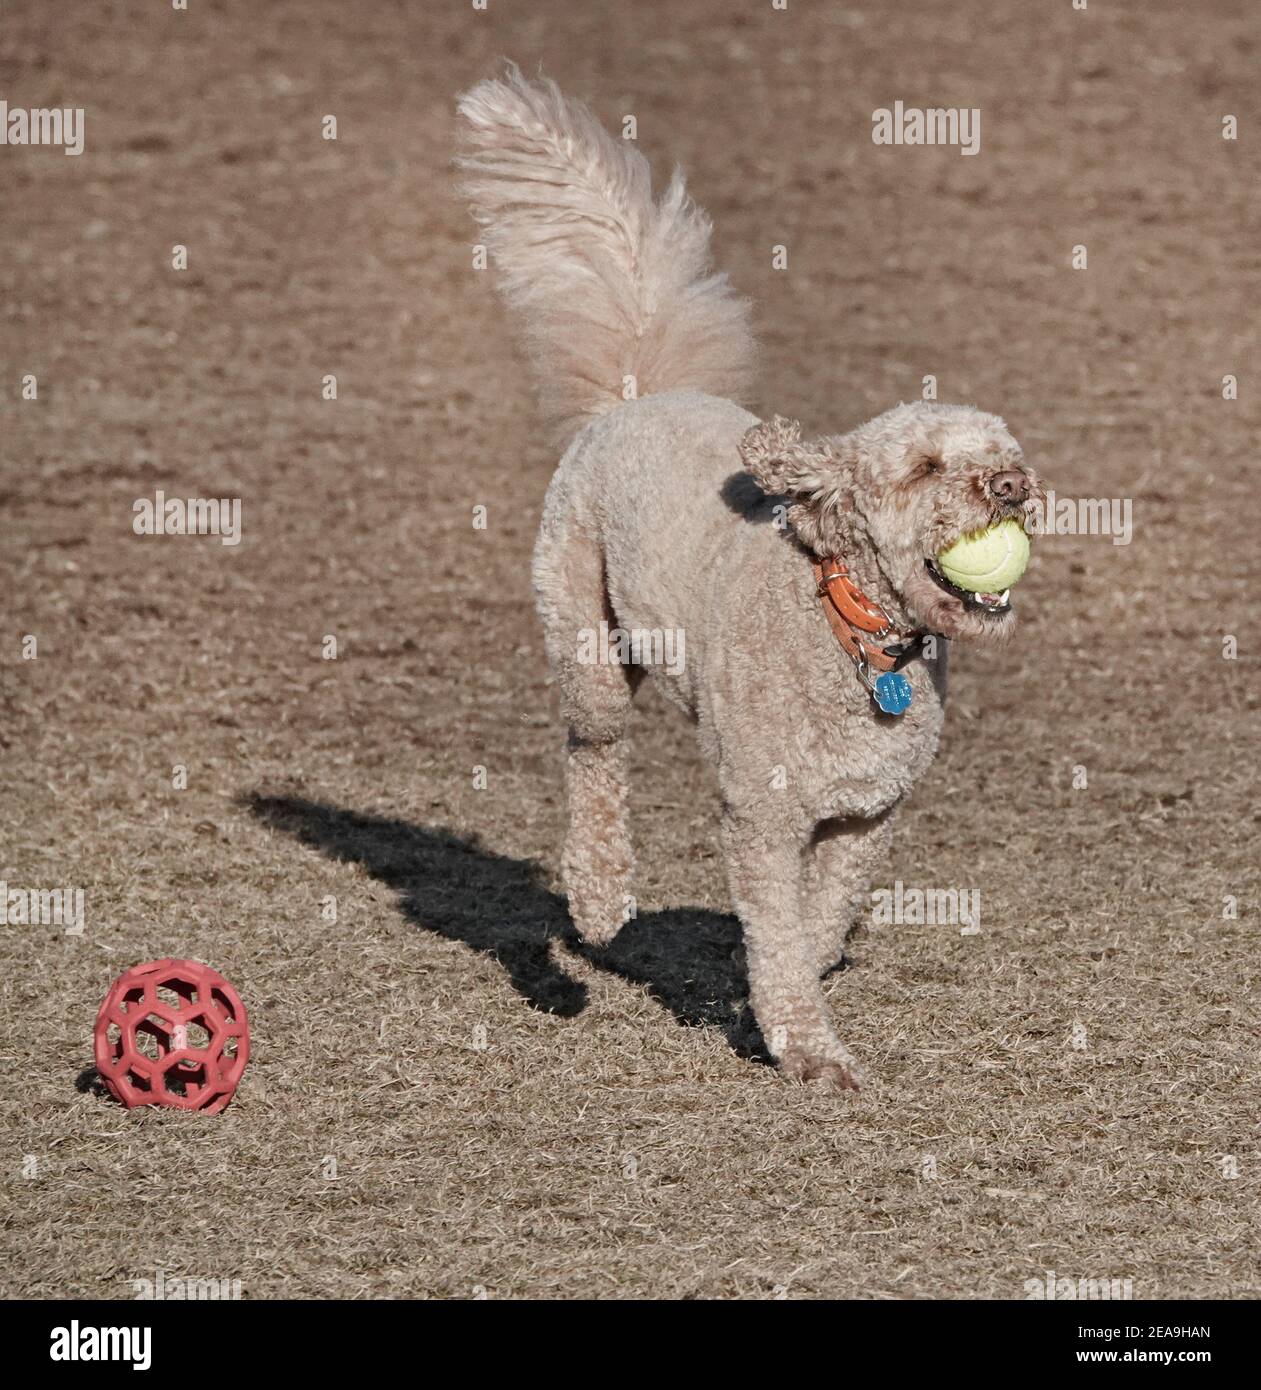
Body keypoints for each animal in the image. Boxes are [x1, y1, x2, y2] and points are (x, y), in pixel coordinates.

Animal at [458, 65, 1051, 1089]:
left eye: (1002, 455)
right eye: (926, 468)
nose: (1012, 487)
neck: (849, 633)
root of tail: (638, 394)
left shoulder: (863, 815)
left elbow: (813, 922)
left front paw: (795, 991)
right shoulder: (762, 816)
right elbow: (775, 930)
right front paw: (809, 1051)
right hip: (582, 623)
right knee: (594, 754)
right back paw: (597, 902)